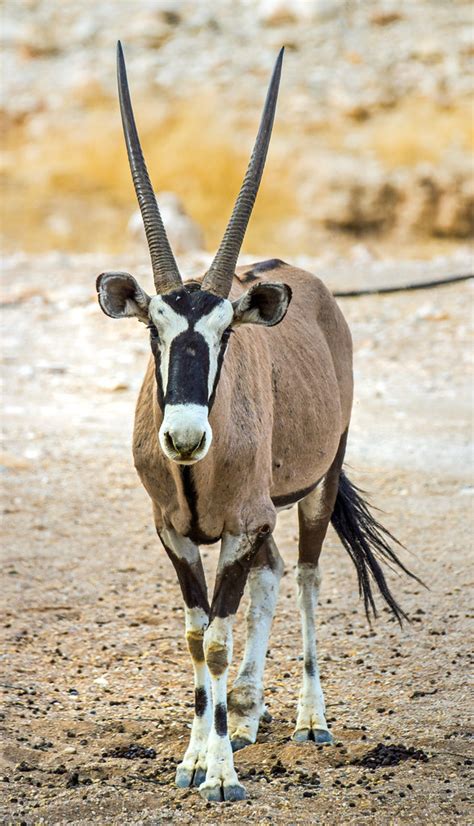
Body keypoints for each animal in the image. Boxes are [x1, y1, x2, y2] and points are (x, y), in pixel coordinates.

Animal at [96, 43, 418, 800]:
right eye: (153, 328)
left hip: (315, 487)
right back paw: (243, 713)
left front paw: (219, 775)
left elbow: (217, 636)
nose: (184, 436)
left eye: (225, 332)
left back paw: (307, 719)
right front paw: (195, 757)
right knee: (272, 577)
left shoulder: (242, 525)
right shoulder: (176, 533)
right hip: (266, 515)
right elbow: (196, 636)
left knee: (304, 577)